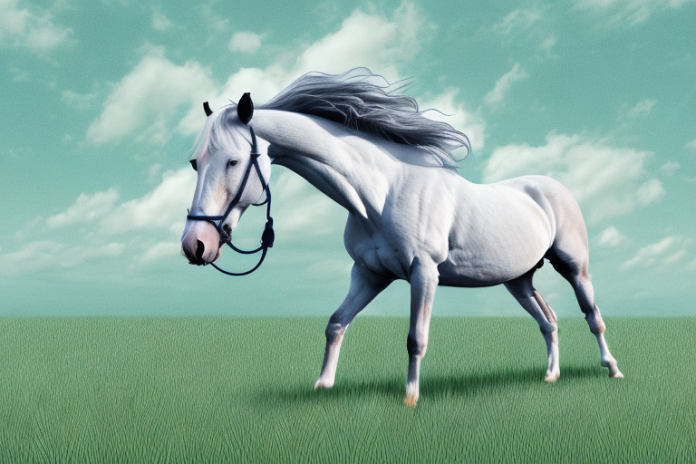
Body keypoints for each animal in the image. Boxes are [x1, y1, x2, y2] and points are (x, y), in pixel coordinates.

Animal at [181, 68, 623, 407]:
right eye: (195, 162)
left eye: (233, 161)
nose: (195, 245)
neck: (381, 193)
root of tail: (552, 188)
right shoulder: (369, 274)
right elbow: (335, 324)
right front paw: (322, 386)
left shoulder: (423, 273)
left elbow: (415, 339)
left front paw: (410, 398)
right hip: (518, 279)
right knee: (548, 321)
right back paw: (550, 376)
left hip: (574, 267)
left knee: (593, 316)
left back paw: (613, 370)